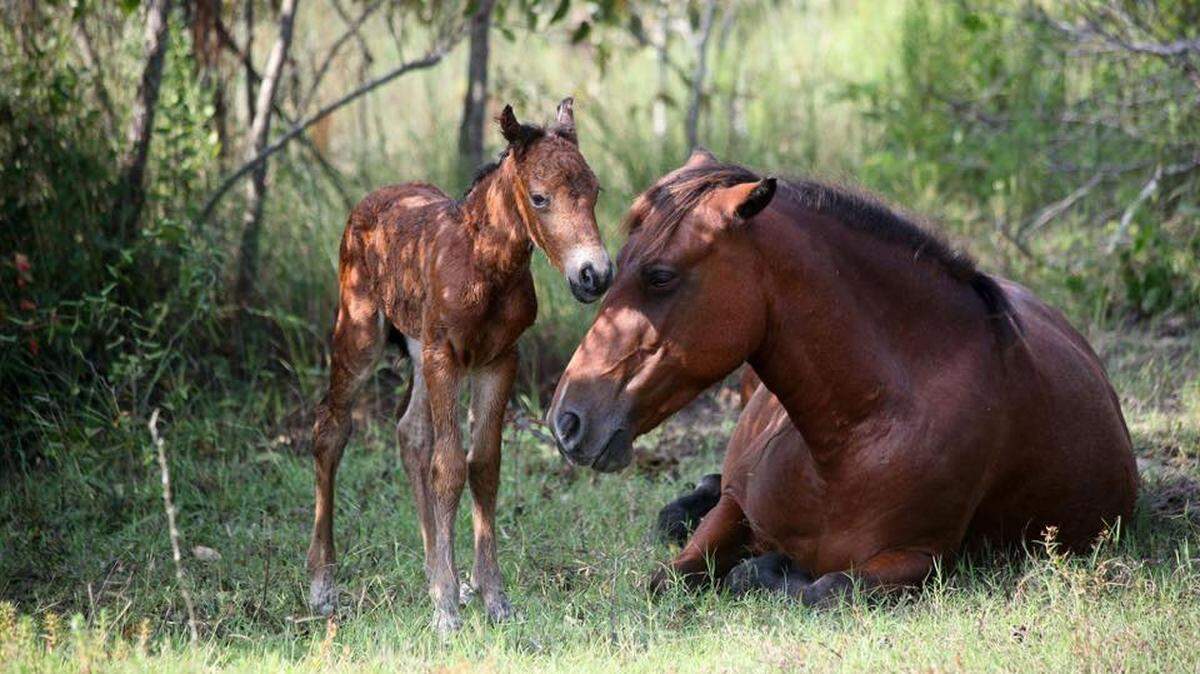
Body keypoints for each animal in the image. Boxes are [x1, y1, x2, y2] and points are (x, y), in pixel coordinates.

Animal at [307, 98, 612, 632]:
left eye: (594, 191)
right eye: (539, 198)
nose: (594, 275)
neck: (484, 266)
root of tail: (371, 200)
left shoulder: (499, 359)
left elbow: (483, 466)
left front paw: (490, 597)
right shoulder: (445, 357)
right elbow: (448, 467)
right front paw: (448, 609)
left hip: (417, 347)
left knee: (410, 433)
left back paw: (434, 572)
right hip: (361, 331)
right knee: (331, 428)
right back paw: (323, 584)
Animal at [548, 149, 1138, 606]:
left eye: (660, 276)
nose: (567, 420)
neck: (853, 438)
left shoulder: (919, 559)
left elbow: (821, 587)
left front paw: (768, 567)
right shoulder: (738, 506)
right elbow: (670, 575)